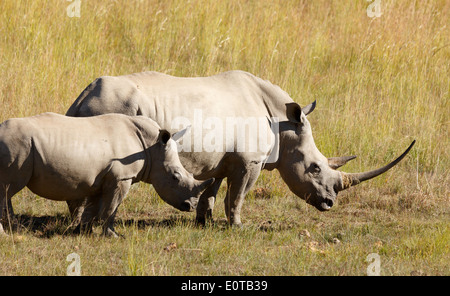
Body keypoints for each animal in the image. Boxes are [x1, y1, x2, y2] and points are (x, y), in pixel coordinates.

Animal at [0, 112, 214, 237]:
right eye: (175, 177)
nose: (190, 206)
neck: (152, 146)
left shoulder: (99, 179)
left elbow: (93, 207)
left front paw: (83, 232)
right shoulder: (121, 178)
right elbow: (112, 208)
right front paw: (113, 235)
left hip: (19, 146)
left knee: (6, 191)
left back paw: (16, 230)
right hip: (16, 146)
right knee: (8, 189)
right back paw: (6, 234)